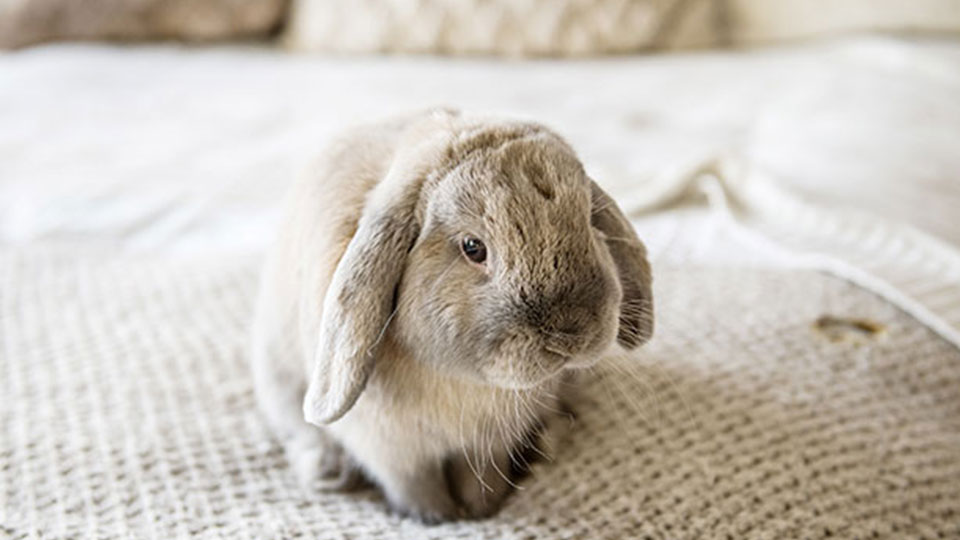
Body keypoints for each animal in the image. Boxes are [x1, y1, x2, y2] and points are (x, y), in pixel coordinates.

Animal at [250, 108, 653, 522]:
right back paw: (327, 470)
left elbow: (482, 474)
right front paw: (437, 517)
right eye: (473, 247)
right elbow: (415, 485)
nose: (570, 335)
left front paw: (481, 508)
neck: (465, 381)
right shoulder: (392, 450)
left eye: (588, 221)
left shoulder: (489, 442)